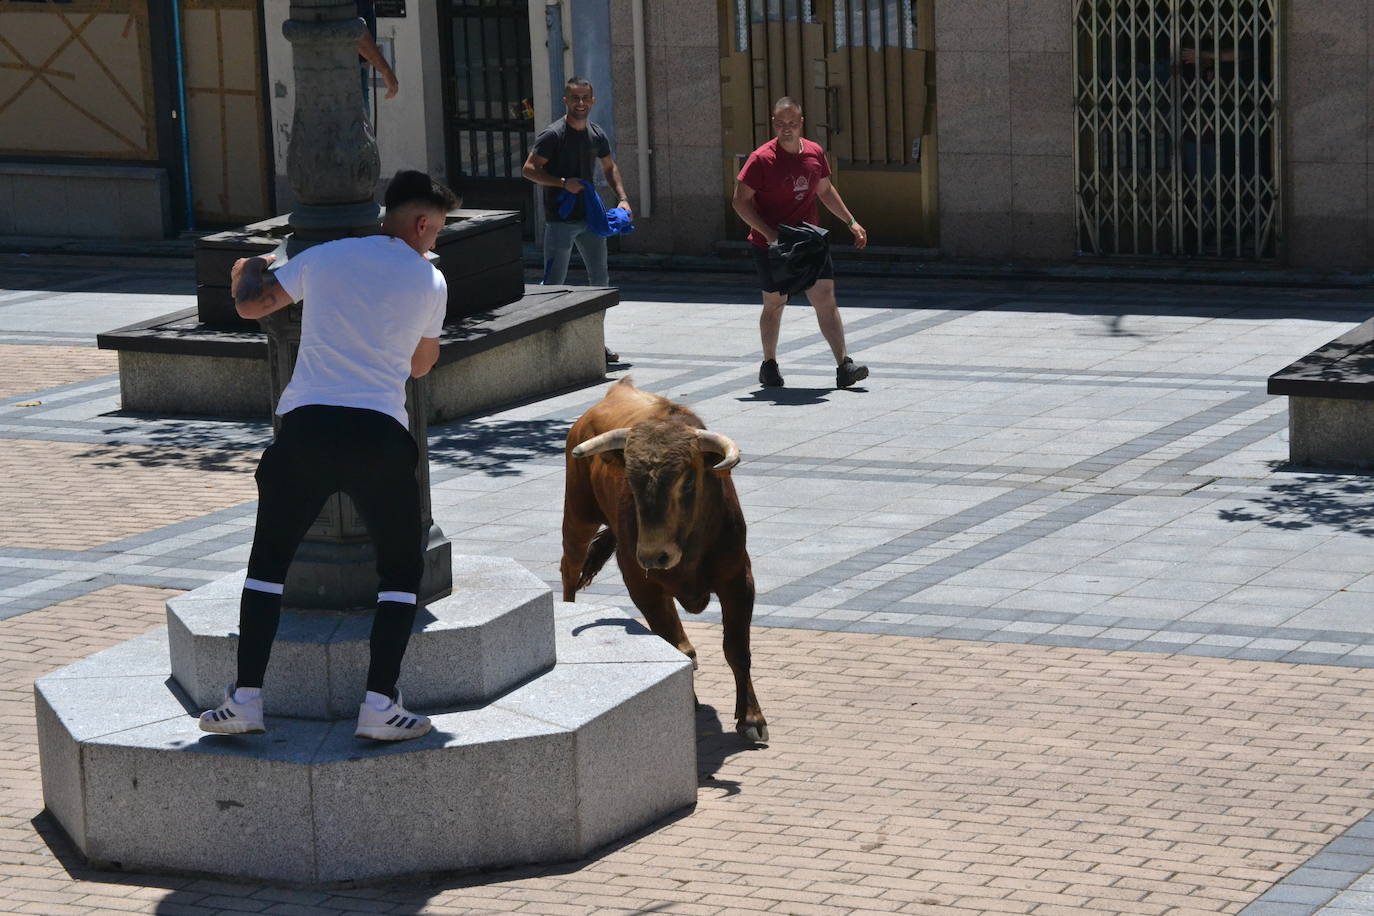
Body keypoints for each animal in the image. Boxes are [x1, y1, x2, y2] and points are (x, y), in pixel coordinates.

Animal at [563, 376, 769, 741]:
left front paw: (751, 718)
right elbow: (677, 646)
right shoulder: (642, 583)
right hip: (578, 513)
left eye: (687, 482)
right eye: (631, 480)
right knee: (569, 568)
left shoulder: (738, 579)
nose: (654, 554)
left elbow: (737, 649)